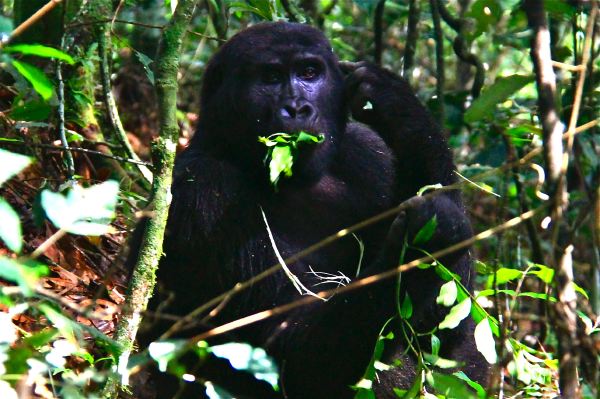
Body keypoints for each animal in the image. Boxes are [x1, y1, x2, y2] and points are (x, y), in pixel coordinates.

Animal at [141, 21, 488, 399]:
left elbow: (452, 330)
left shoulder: (368, 152)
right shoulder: (202, 189)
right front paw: (423, 242)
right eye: (271, 77)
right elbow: (291, 347)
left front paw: (398, 105)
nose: (297, 109)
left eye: (309, 72)